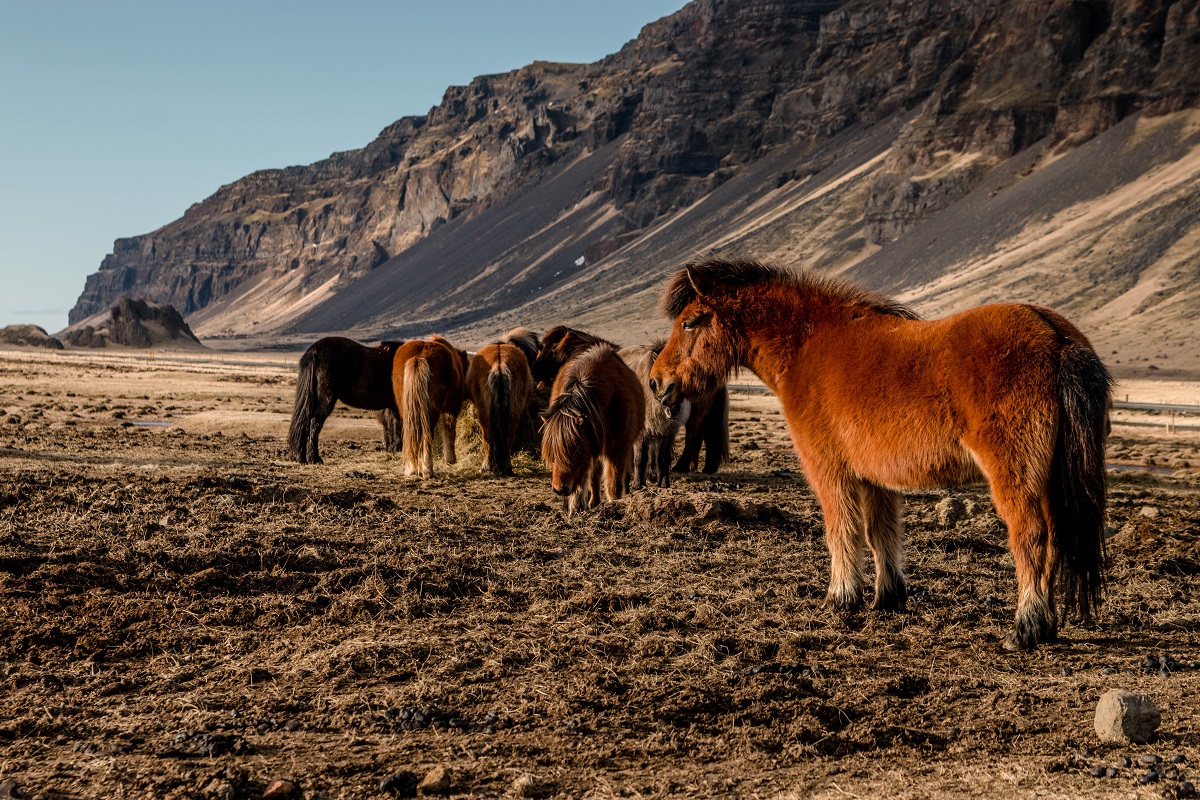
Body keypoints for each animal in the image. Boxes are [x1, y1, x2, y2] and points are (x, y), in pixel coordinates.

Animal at [393, 335, 468, 479]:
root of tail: (419, 356)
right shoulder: (452, 409)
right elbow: (449, 432)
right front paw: (451, 460)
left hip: (406, 409)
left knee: (412, 434)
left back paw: (411, 469)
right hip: (431, 412)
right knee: (427, 436)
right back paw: (427, 470)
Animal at [465, 326, 542, 474]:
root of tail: (499, 363)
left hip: (487, 410)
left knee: (489, 436)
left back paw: (489, 467)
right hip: (512, 409)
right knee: (506, 436)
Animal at [544, 340, 648, 515]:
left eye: (575, 450)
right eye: (552, 453)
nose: (559, 489)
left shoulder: (617, 449)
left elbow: (613, 483)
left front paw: (614, 505)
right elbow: (584, 481)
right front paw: (576, 508)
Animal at [619, 343, 696, 489]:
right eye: (655, 382)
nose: (673, 410)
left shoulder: (667, 435)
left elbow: (663, 459)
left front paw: (664, 483)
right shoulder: (641, 434)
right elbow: (640, 459)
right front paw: (637, 485)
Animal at [652, 256, 1108, 652]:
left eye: (689, 323)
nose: (657, 382)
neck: (808, 345)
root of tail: (1056, 335)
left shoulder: (829, 469)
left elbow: (842, 530)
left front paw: (840, 598)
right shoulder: (874, 476)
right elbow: (880, 533)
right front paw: (887, 598)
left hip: (1014, 474)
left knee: (1031, 537)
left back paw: (1025, 629)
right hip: (1048, 479)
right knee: (1054, 539)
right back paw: (1046, 626)